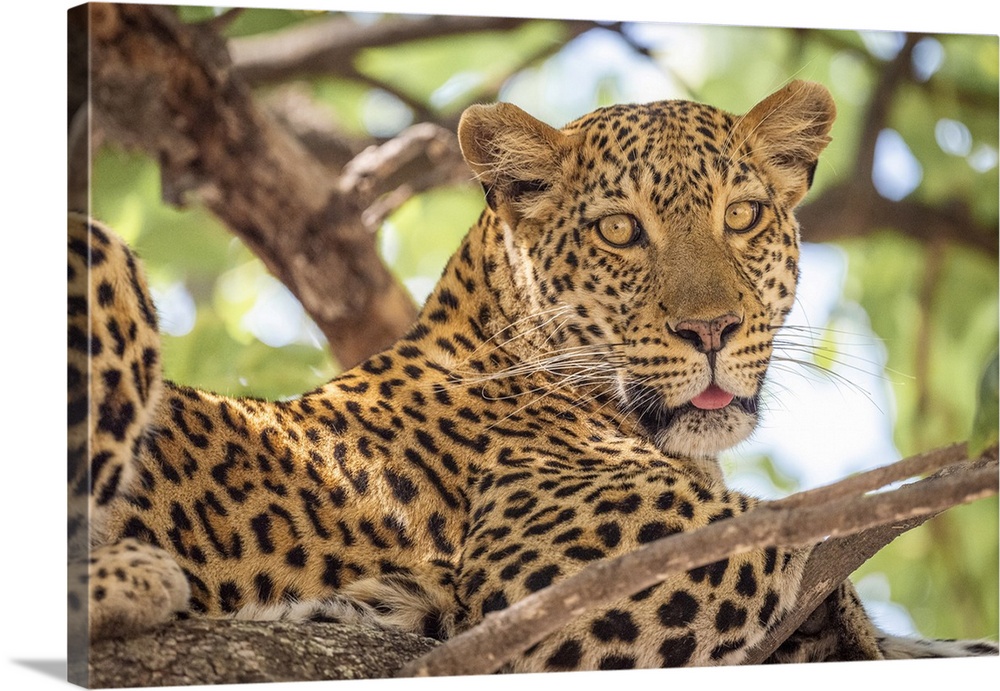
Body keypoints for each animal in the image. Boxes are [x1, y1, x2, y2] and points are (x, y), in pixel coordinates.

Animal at [68, 80, 998, 675]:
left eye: (742, 216)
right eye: (621, 230)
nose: (711, 329)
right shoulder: (552, 574)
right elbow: (788, 532)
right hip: (100, 253)